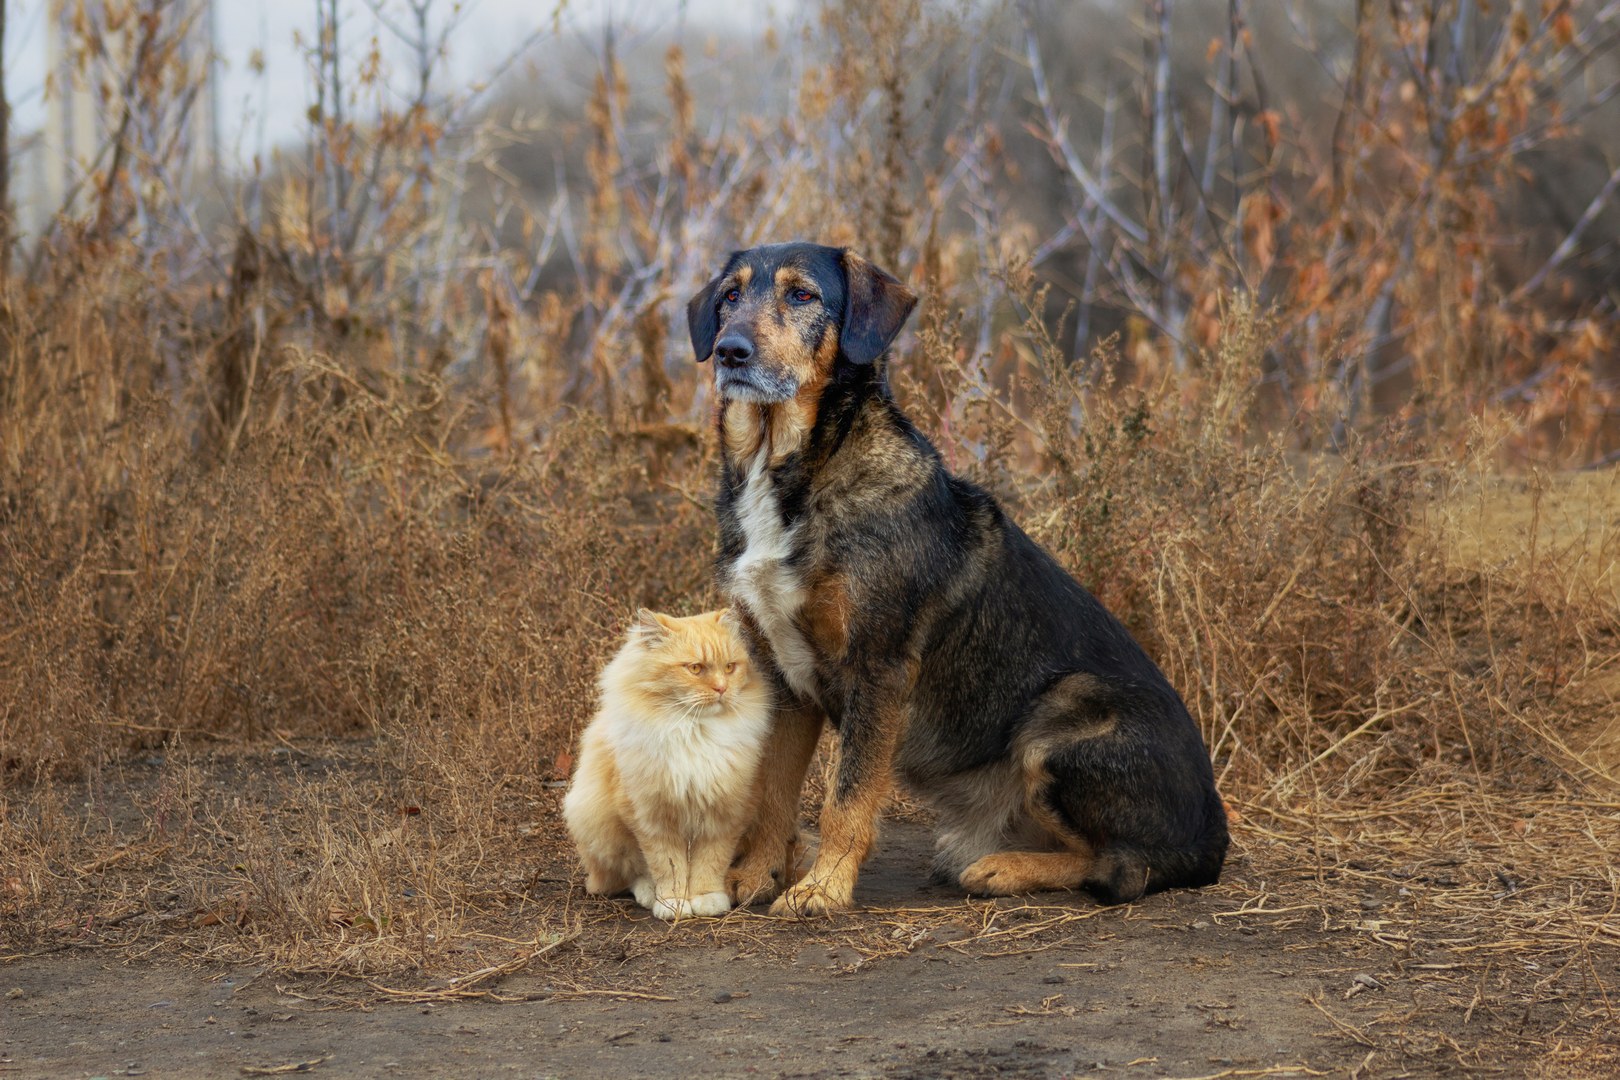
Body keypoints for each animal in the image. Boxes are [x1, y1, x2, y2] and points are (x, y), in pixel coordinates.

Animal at [563, 608, 771, 919]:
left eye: (730, 667)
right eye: (695, 668)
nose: (722, 688)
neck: (694, 732)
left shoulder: (725, 812)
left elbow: (710, 862)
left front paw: (707, 899)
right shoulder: (652, 817)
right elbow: (667, 866)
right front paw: (673, 903)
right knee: (629, 875)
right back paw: (650, 894)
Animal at [683, 241, 1224, 919]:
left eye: (802, 295)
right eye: (730, 294)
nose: (730, 350)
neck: (792, 467)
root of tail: (1214, 834)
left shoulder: (879, 669)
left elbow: (846, 800)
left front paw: (823, 888)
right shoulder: (783, 678)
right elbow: (773, 794)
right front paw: (758, 875)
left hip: (1061, 718)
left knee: (1122, 866)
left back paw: (1002, 867)